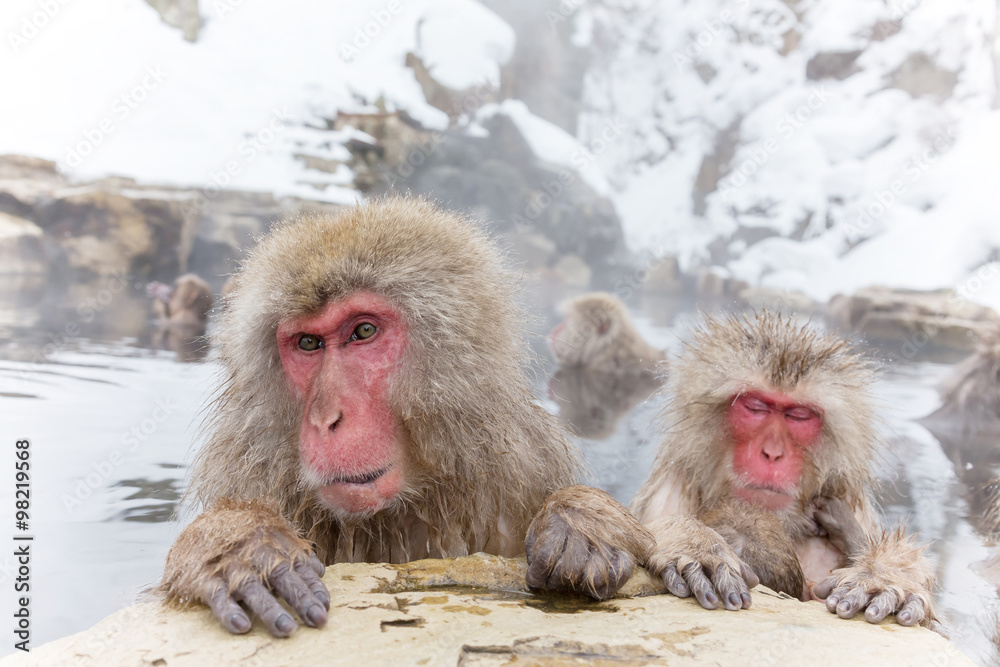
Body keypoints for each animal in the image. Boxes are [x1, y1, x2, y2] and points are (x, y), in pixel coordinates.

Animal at [629, 311, 935, 626]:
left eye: (798, 415)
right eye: (756, 407)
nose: (772, 453)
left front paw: (884, 577)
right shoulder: (667, 491)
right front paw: (691, 543)